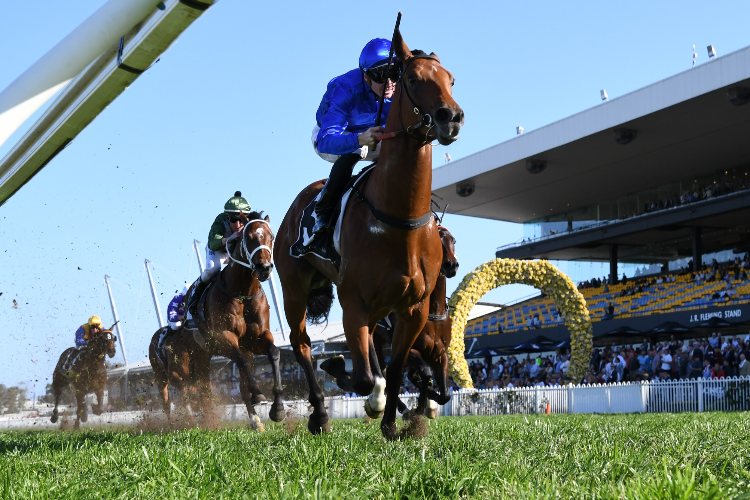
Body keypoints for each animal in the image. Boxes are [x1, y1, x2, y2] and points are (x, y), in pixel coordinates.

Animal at [276, 30, 464, 438]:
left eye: (451, 79)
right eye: (414, 79)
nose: (452, 117)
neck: (398, 221)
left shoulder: (412, 310)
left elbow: (396, 369)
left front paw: (394, 424)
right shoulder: (354, 304)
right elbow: (363, 377)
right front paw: (370, 398)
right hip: (293, 286)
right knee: (301, 345)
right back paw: (319, 414)